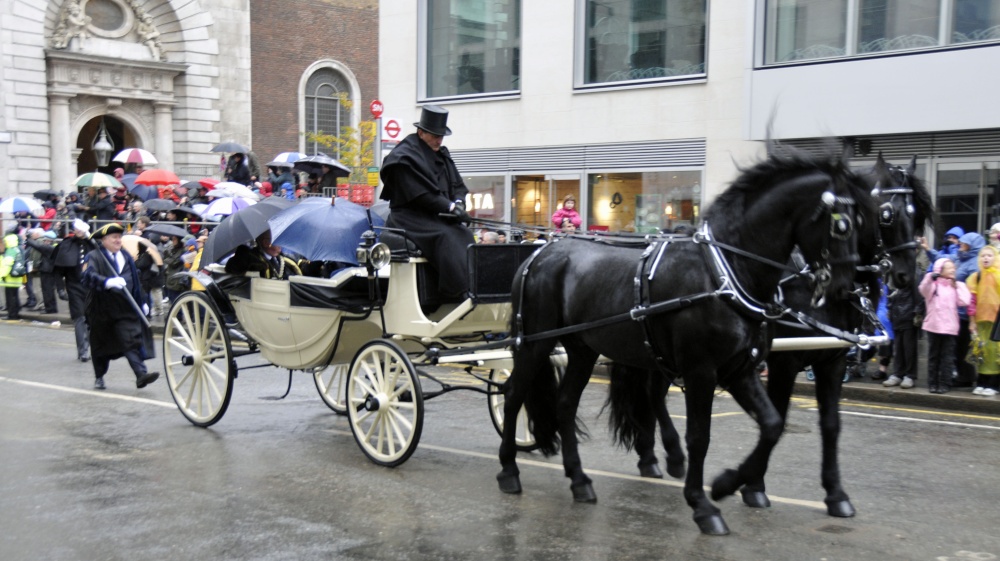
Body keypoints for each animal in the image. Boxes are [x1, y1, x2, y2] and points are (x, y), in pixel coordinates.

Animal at [498, 149, 876, 532]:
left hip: (583, 350)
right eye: (843, 224)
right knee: (513, 394)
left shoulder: (741, 369)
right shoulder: (703, 371)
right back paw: (509, 470)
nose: (844, 288)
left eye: (865, 219)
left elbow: (773, 424)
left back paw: (580, 480)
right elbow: (700, 436)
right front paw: (703, 504)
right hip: (535, 343)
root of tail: (538, 254)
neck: (726, 271)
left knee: (566, 403)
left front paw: (728, 484)